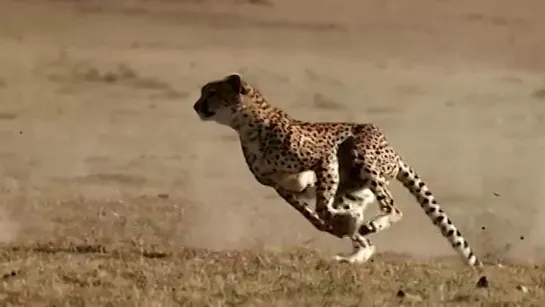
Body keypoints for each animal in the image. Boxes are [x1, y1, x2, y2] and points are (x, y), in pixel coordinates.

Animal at [192, 73, 480, 268]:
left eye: (211, 93)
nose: (196, 106)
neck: (248, 126)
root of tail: (395, 153)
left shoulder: (324, 158)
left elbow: (321, 205)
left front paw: (342, 221)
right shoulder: (280, 186)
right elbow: (313, 217)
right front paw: (338, 225)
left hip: (361, 153)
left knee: (393, 209)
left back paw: (371, 225)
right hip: (351, 190)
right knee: (366, 239)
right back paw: (353, 253)